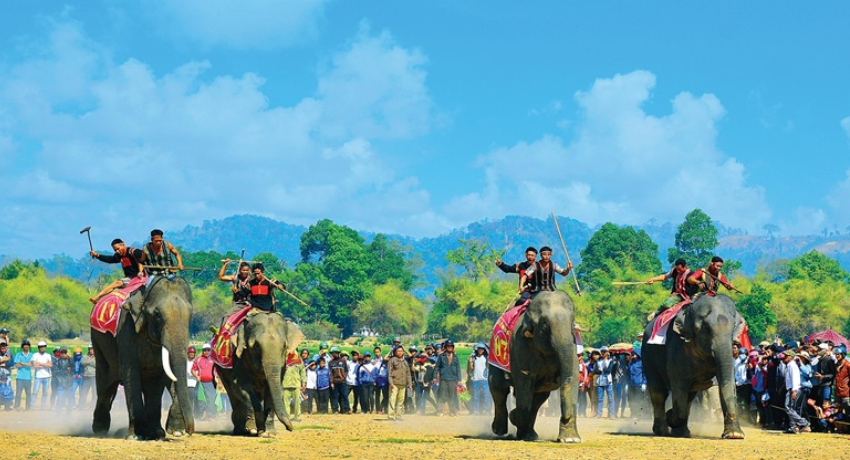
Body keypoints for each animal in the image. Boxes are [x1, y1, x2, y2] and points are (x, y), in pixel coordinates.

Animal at [92, 274, 195, 440]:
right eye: (157, 315)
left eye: (191, 315)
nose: (190, 431)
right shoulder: (126, 330)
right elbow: (131, 375)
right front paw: (135, 436)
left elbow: (158, 380)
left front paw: (157, 434)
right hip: (98, 344)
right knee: (105, 385)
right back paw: (100, 430)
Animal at [486, 292, 580, 442]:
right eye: (545, 324)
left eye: (572, 323)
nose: (566, 416)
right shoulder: (520, 345)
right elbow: (524, 380)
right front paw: (514, 417)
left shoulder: (573, 344)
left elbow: (573, 377)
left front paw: (570, 439)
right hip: (494, 354)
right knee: (498, 387)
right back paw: (500, 430)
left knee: (539, 397)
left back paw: (528, 434)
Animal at [644, 292, 744, 440]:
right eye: (706, 328)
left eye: (734, 327)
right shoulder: (676, 347)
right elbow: (679, 385)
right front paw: (670, 414)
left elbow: (726, 382)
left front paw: (734, 435)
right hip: (647, 357)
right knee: (659, 393)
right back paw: (662, 431)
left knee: (689, 397)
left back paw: (682, 433)